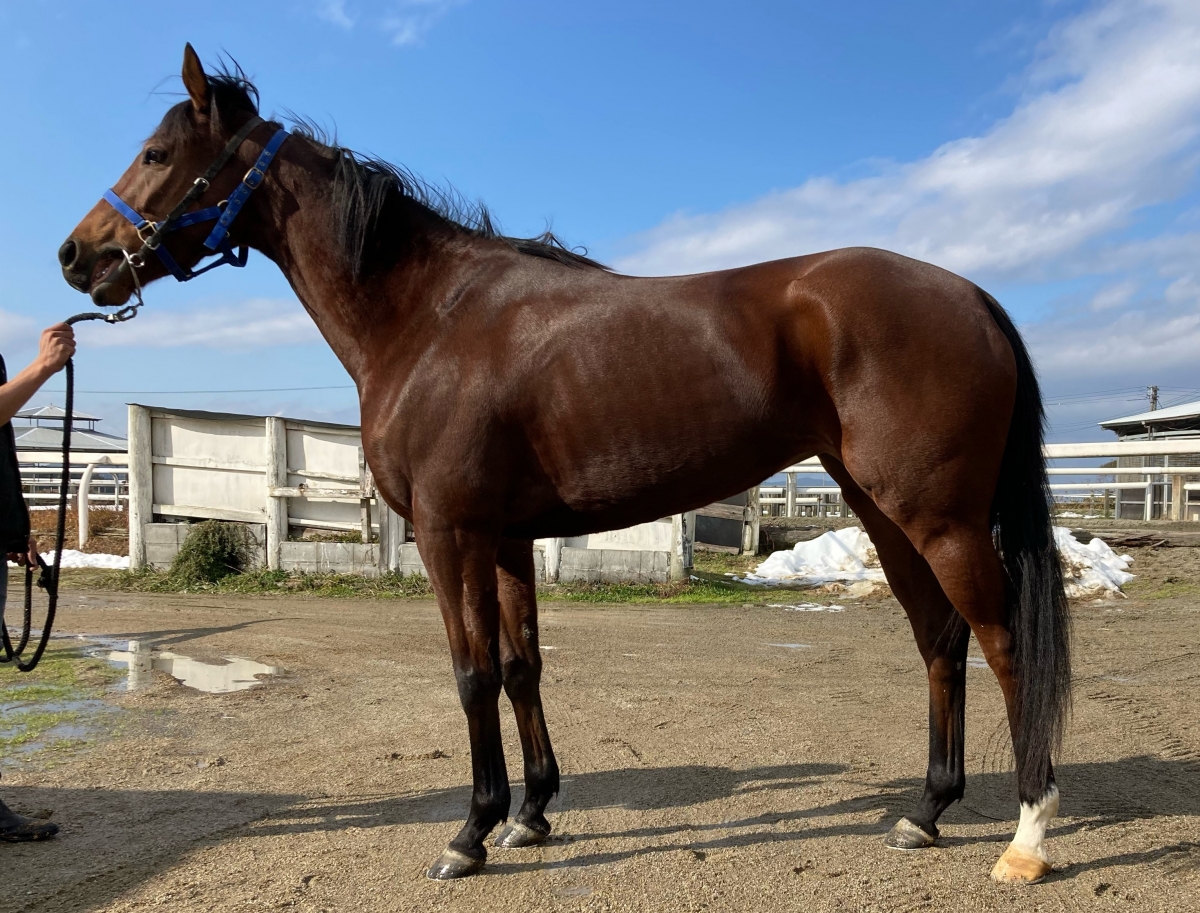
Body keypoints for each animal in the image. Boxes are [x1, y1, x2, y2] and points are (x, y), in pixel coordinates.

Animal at [59, 45, 1071, 884]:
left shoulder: (450, 534)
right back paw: (927, 811)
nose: (77, 256)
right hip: (881, 509)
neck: (428, 317)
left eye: (156, 153)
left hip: (936, 517)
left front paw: (471, 831)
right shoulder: (505, 537)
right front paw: (532, 813)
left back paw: (1026, 833)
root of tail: (971, 295)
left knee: (1003, 642)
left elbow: (470, 672)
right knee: (939, 641)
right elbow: (521, 667)